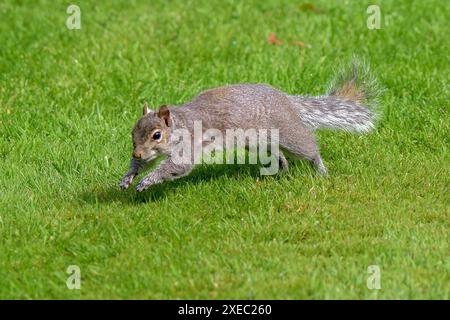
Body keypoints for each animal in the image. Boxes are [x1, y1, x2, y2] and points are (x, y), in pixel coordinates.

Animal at [118, 58, 380, 191]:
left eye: (157, 135)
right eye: (133, 133)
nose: (136, 153)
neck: (180, 124)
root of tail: (286, 100)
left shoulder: (189, 145)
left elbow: (177, 166)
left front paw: (147, 181)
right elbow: (145, 164)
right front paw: (128, 177)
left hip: (287, 133)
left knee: (308, 147)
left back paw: (320, 170)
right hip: (257, 142)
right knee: (278, 154)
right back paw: (281, 169)